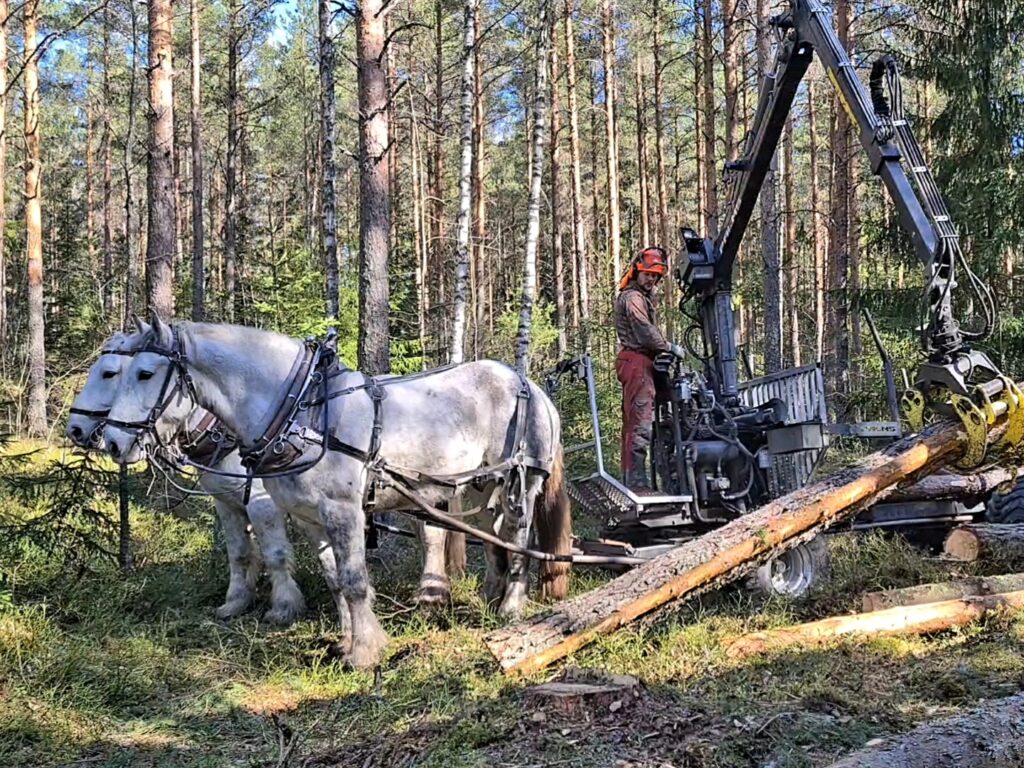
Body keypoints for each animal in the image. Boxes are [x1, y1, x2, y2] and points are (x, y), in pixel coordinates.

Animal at [104, 315, 577, 671]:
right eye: (118, 374)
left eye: (144, 373)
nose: (111, 441)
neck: (303, 413)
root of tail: (530, 385)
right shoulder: (309, 517)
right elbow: (334, 580)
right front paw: (347, 641)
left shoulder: (343, 511)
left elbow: (353, 579)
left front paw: (365, 652)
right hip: (483, 486)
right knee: (493, 536)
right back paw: (489, 597)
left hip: (523, 482)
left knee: (518, 539)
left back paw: (511, 606)